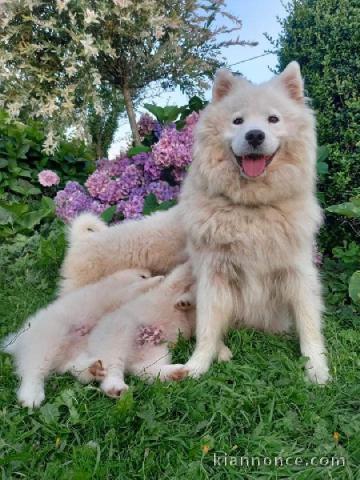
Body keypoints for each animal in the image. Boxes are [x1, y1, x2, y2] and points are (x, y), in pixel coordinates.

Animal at [3, 268, 162, 406]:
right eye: (142, 275)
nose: (152, 275)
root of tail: (17, 342)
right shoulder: (118, 293)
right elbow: (136, 288)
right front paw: (157, 280)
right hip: (46, 344)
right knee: (33, 371)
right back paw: (31, 395)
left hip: (75, 352)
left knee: (75, 368)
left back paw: (93, 369)